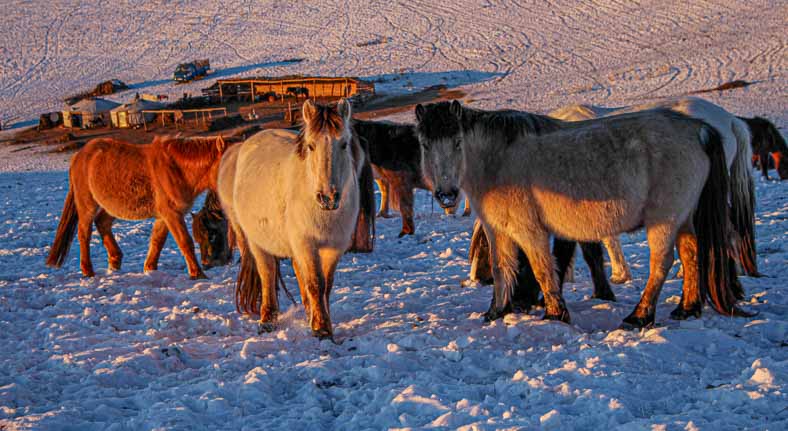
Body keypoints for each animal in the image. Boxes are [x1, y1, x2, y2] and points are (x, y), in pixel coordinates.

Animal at [47, 136, 228, 280]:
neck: (178, 169)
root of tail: (79, 155)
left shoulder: (164, 216)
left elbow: (157, 241)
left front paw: (150, 269)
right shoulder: (172, 215)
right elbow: (185, 242)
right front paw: (198, 274)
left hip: (112, 206)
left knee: (102, 223)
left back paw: (115, 260)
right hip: (87, 206)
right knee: (84, 233)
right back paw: (88, 271)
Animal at [217, 99, 368, 340]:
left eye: (344, 144)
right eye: (311, 146)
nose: (328, 197)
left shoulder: (334, 247)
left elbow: (325, 285)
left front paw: (322, 322)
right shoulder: (305, 243)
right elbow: (315, 283)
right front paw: (321, 329)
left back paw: (307, 313)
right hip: (255, 241)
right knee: (267, 273)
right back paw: (267, 319)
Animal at [416, 101, 748, 330]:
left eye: (457, 141)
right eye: (425, 144)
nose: (447, 195)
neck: (497, 159)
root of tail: (698, 128)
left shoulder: (529, 230)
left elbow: (542, 269)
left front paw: (554, 314)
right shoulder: (499, 230)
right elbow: (502, 269)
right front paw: (497, 312)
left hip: (663, 220)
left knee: (662, 263)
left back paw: (639, 316)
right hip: (683, 218)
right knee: (691, 254)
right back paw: (687, 308)